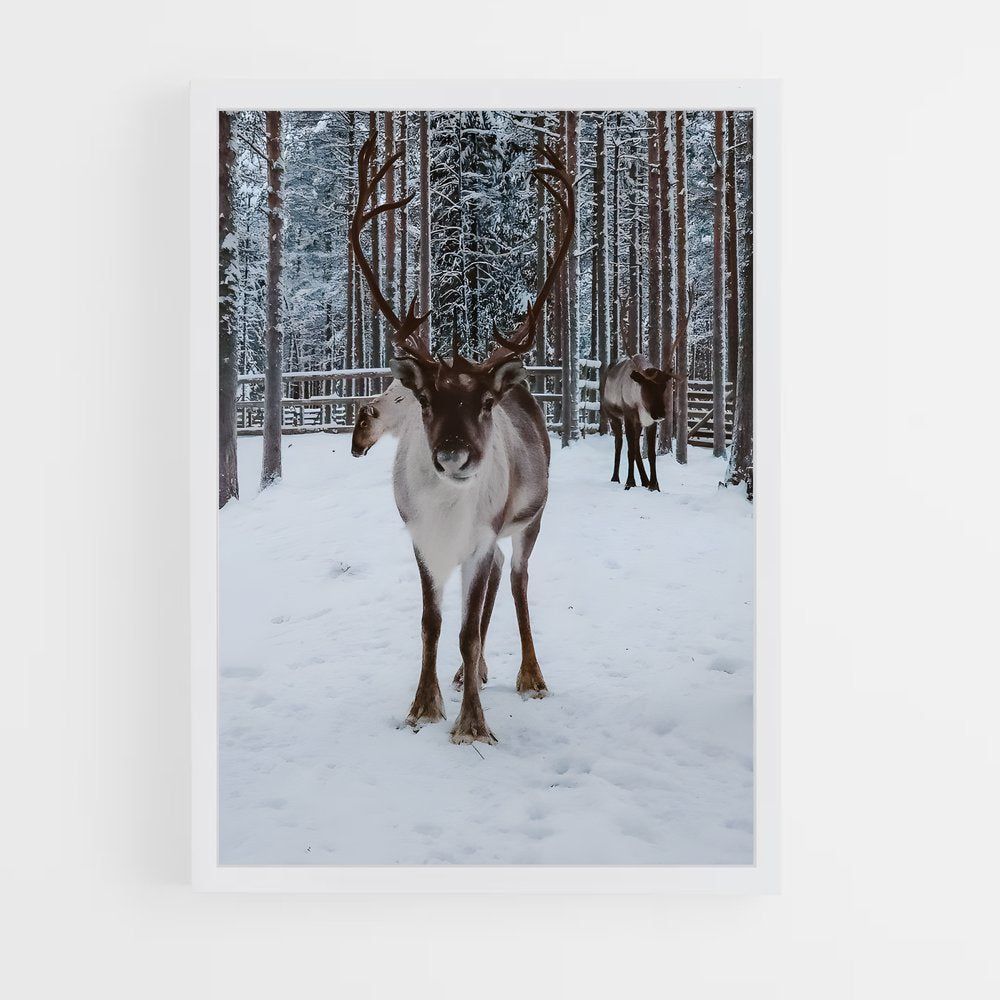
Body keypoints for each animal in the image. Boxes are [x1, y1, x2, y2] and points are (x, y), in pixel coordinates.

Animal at [349, 136, 574, 745]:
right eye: (425, 400)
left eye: (485, 404)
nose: (453, 455)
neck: (448, 511)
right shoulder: (423, 542)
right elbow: (432, 624)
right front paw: (423, 706)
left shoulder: (480, 537)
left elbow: (468, 628)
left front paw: (473, 724)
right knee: (495, 586)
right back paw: (467, 674)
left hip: (526, 523)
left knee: (515, 583)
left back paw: (531, 674)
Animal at [600, 356, 673, 491]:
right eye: (648, 386)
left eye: (664, 387)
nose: (660, 415)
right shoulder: (628, 417)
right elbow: (629, 452)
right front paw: (630, 482)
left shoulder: (650, 423)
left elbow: (650, 454)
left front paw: (654, 485)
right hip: (613, 416)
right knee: (619, 444)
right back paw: (615, 478)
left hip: (638, 425)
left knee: (636, 448)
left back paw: (645, 480)